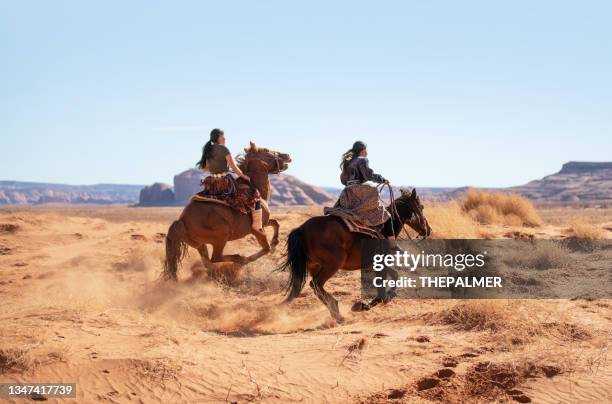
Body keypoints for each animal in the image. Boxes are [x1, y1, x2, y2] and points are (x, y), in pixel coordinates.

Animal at [163, 143, 292, 280]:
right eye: (267, 150)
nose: (287, 156)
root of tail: (181, 221)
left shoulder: (265, 222)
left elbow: (275, 223)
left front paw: (275, 243)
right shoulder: (257, 230)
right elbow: (266, 248)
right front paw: (252, 257)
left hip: (200, 244)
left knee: (208, 261)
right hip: (221, 237)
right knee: (215, 258)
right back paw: (239, 259)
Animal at [278, 189, 430, 322]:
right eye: (421, 207)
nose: (428, 230)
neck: (386, 228)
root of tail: (301, 229)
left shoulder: (378, 263)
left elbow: (395, 275)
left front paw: (388, 296)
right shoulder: (380, 263)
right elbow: (382, 288)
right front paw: (364, 305)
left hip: (314, 265)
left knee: (315, 287)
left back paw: (336, 313)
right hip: (333, 263)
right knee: (316, 284)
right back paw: (337, 310)